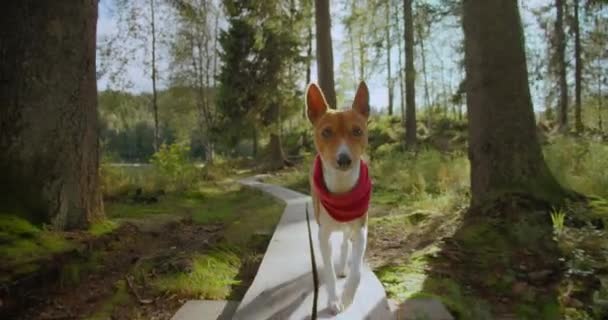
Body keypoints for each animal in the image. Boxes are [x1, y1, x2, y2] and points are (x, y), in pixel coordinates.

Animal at [306, 81, 372, 314]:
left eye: (357, 131)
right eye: (326, 132)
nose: (344, 159)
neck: (342, 191)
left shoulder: (361, 230)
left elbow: (357, 271)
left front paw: (348, 296)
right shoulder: (323, 236)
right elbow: (329, 272)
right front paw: (334, 299)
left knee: (345, 242)